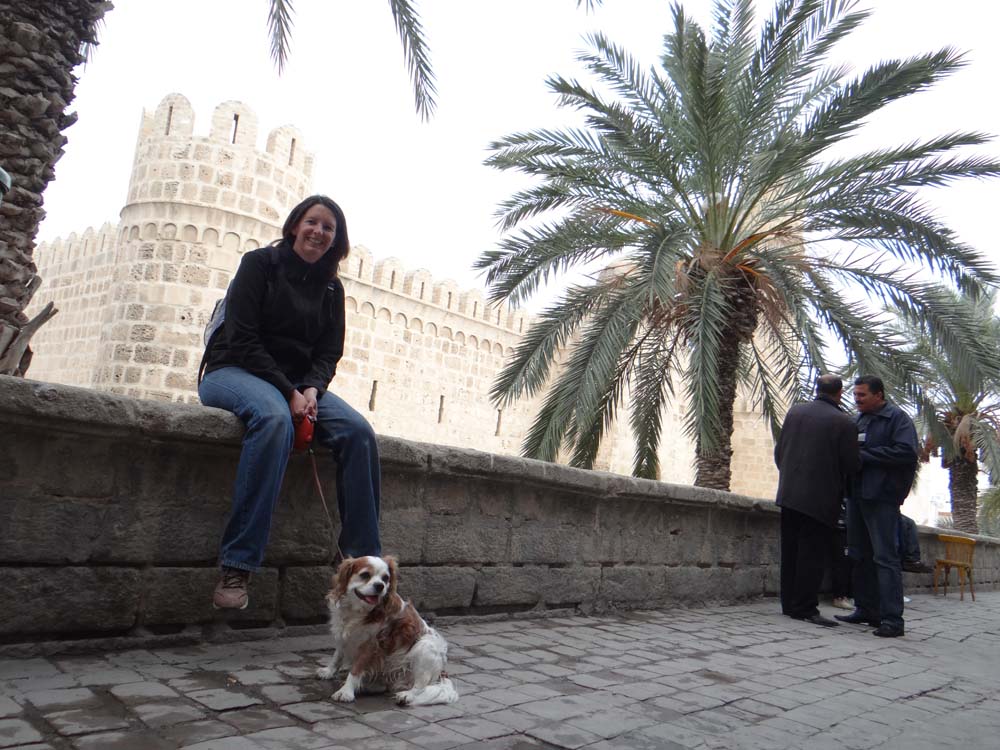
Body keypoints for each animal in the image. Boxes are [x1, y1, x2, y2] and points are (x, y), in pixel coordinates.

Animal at [315, 555, 459, 706]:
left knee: (420, 686)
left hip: (424, 645)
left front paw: (346, 691)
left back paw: (406, 695)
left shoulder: (371, 645)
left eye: (385, 578)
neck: (358, 611)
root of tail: (442, 672)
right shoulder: (344, 637)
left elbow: (356, 670)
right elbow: (337, 656)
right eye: (365, 575)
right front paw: (328, 671)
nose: (380, 586)